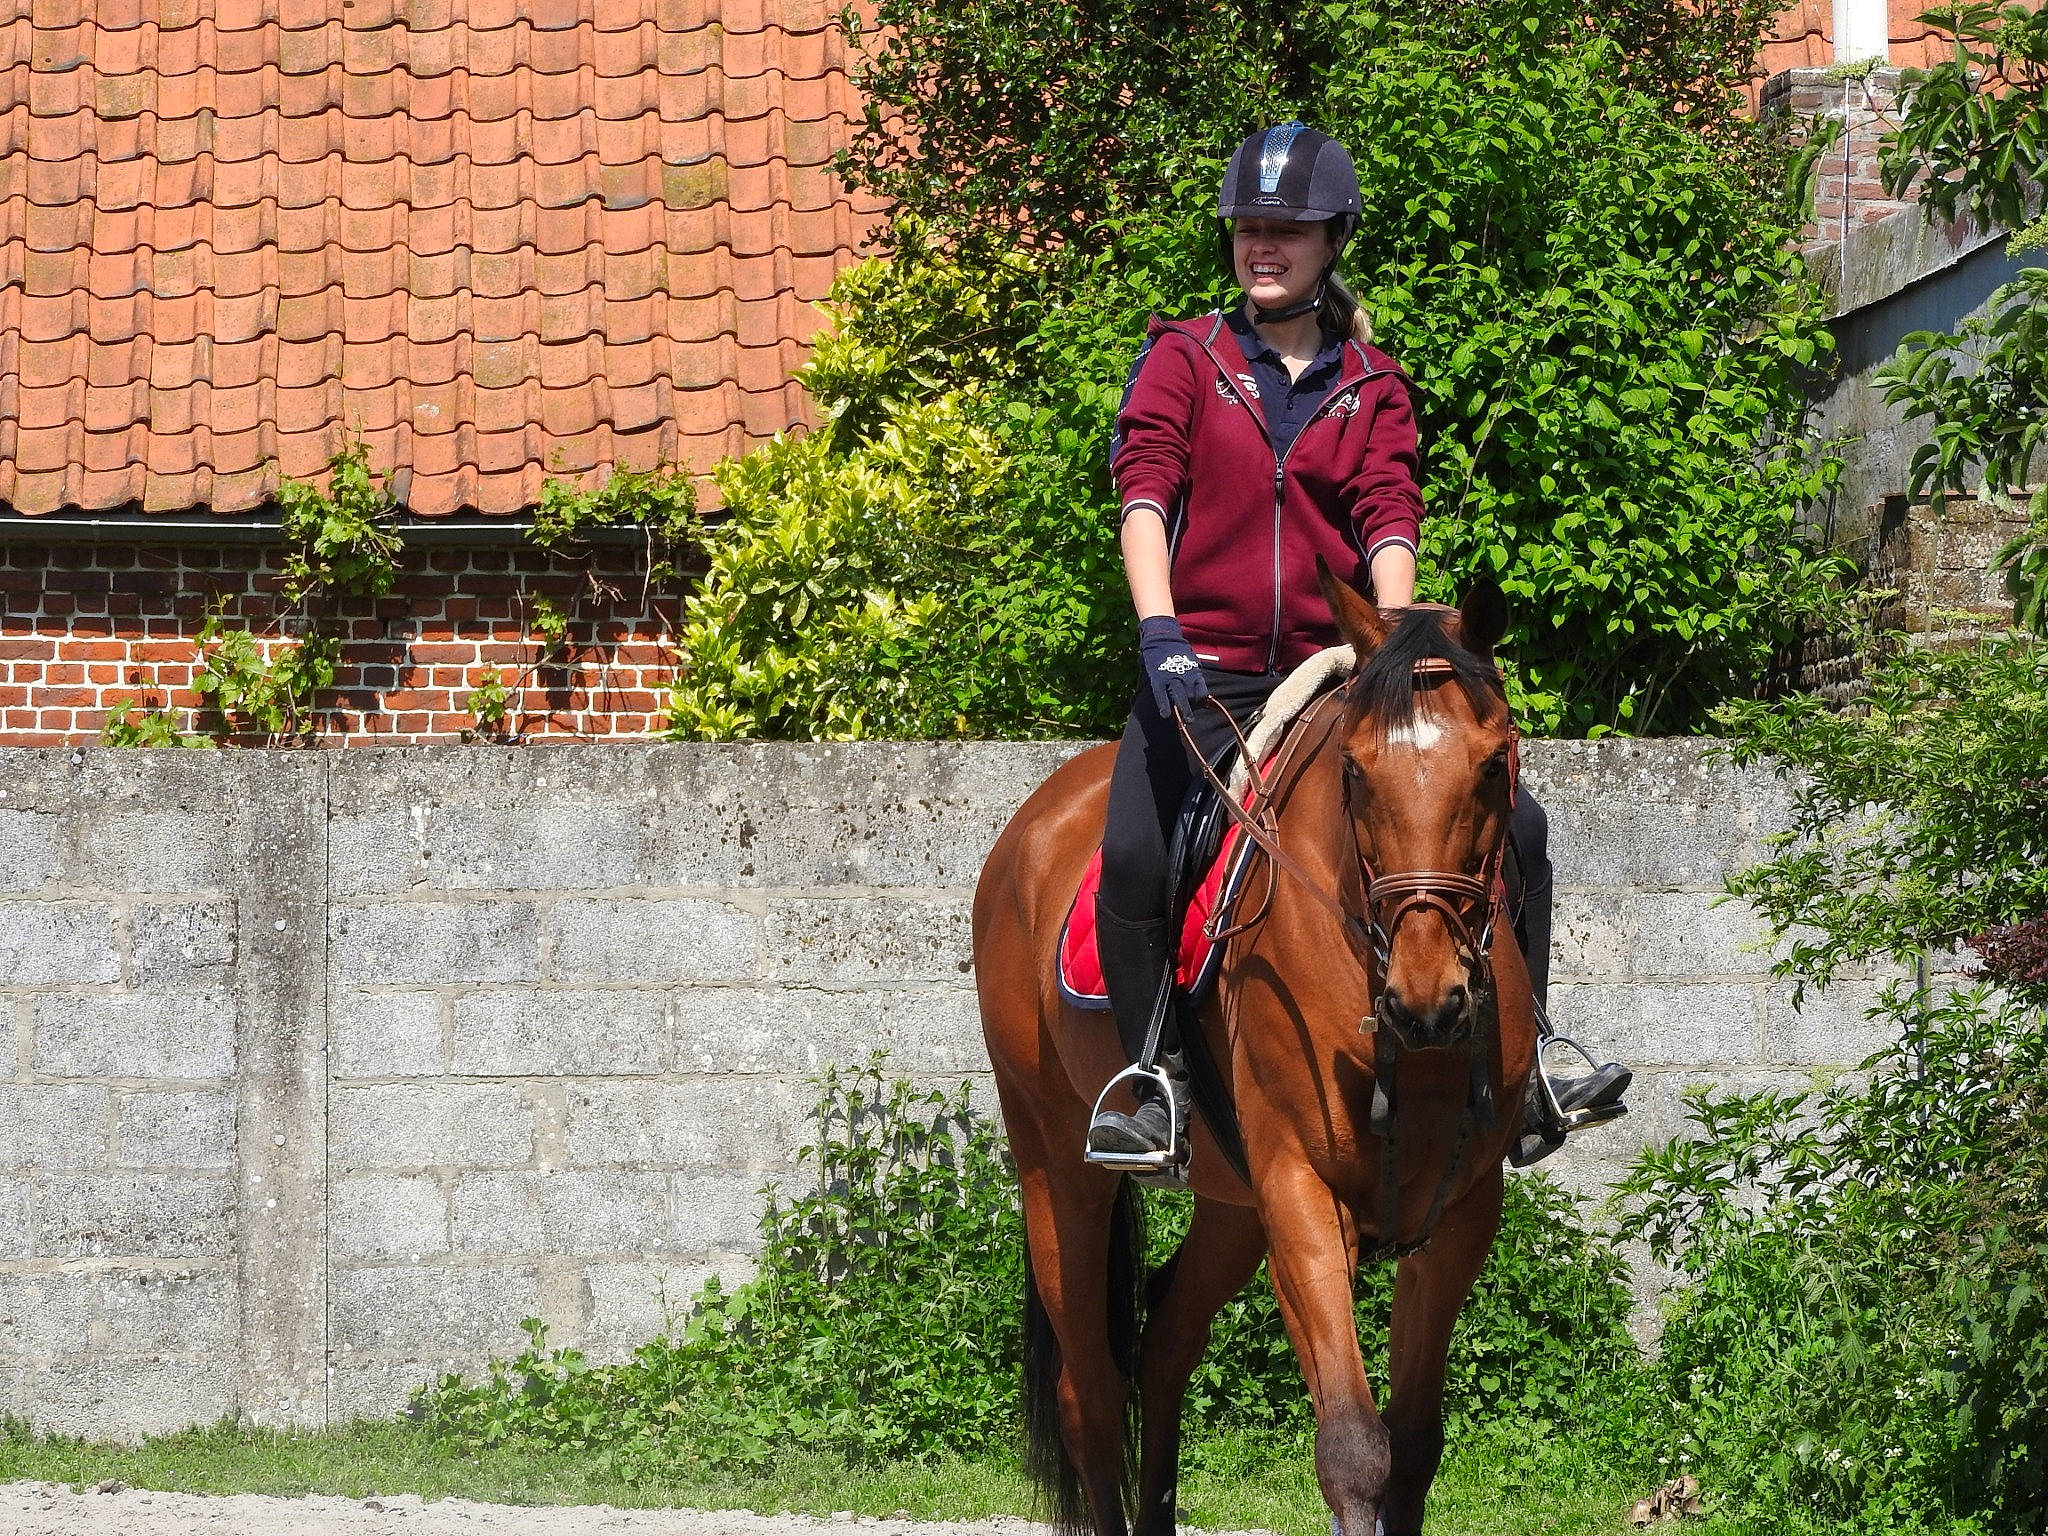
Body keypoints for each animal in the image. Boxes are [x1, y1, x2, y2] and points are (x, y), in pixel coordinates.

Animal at [972, 569, 1538, 1536]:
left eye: (1493, 764)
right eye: (1354, 771)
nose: (1429, 1000)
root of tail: (1031, 826)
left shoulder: (1458, 1213)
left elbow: (1415, 1448)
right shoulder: (1302, 1196)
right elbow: (1354, 1447)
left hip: (1232, 1202)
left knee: (1165, 1341)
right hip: (1057, 1171)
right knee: (1092, 1397)